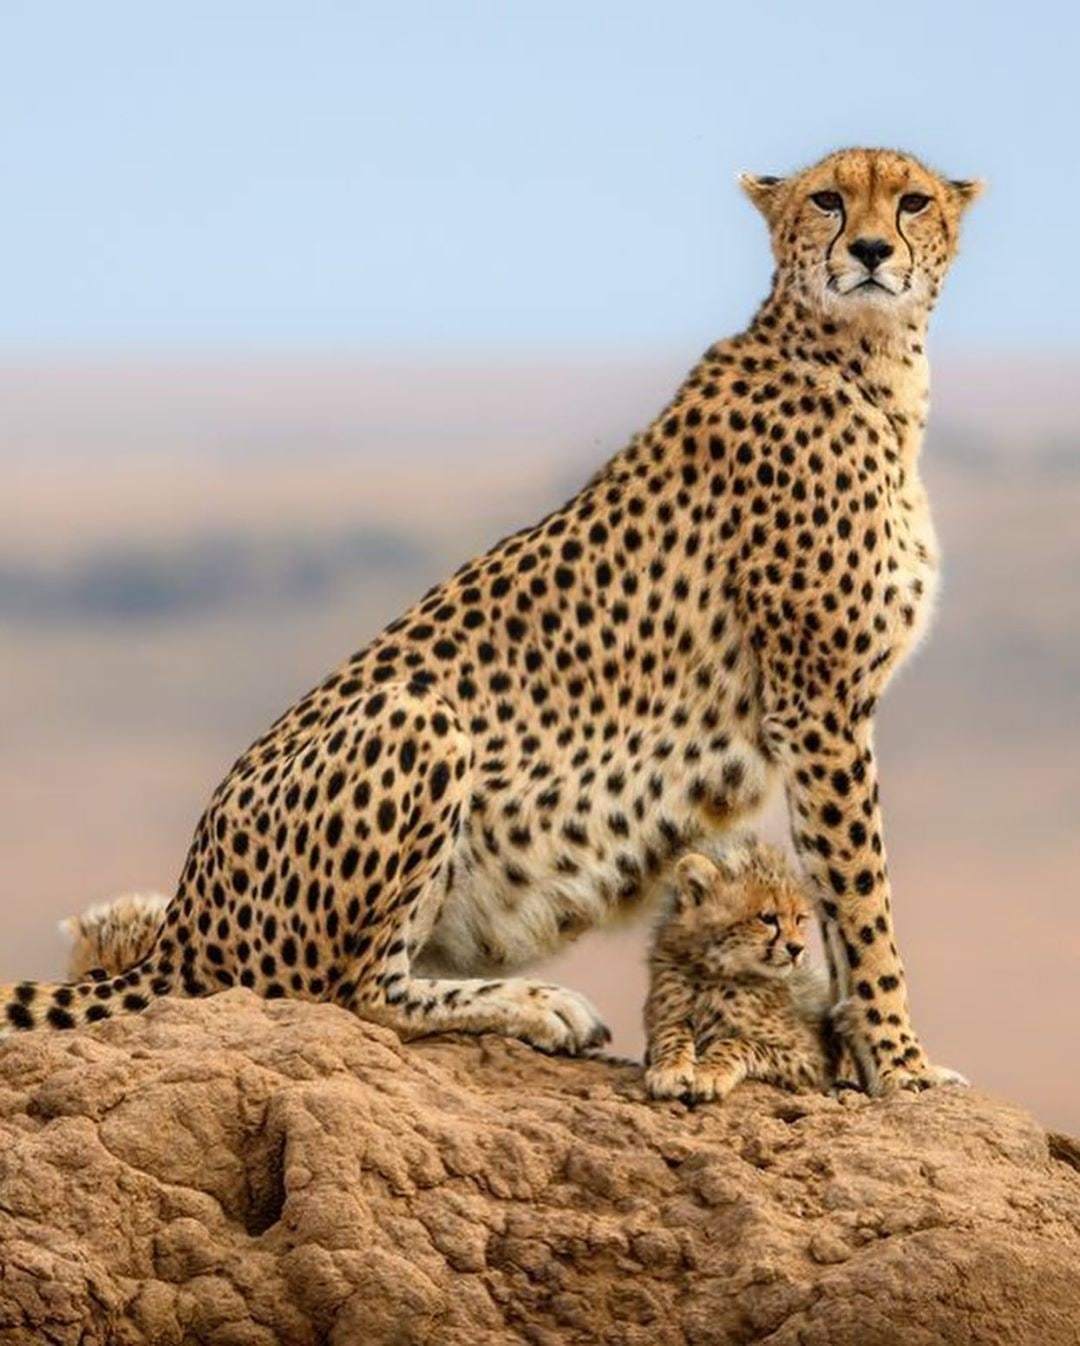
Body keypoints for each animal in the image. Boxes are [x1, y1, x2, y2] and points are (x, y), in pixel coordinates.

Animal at [0, 147, 974, 1092]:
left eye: (913, 201)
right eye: (826, 200)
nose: (871, 251)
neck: (867, 362)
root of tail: (183, 926)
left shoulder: (824, 711)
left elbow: (838, 894)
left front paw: (863, 1055)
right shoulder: (818, 703)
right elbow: (863, 896)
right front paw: (902, 1064)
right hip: (418, 716)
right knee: (354, 992)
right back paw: (538, 1004)